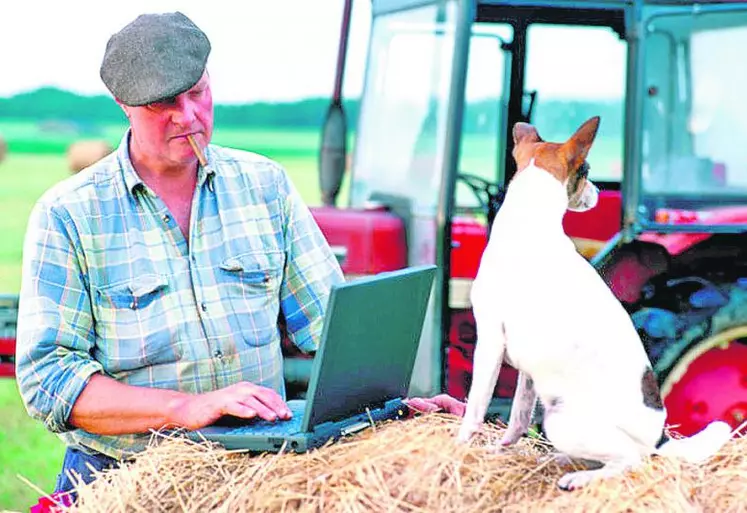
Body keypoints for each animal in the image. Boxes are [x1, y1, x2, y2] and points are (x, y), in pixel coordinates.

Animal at [452, 114, 732, 490]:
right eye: (586, 173)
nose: (599, 193)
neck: (531, 224)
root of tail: (660, 439)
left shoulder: (491, 341)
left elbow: (475, 409)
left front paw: (459, 449)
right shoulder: (526, 368)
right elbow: (518, 416)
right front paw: (502, 450)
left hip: (560, 420)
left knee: (629, 461)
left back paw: (578, 478)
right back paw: (557, 460)